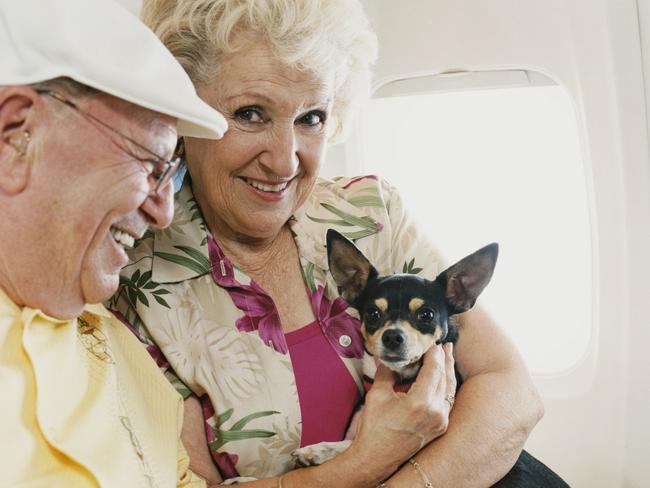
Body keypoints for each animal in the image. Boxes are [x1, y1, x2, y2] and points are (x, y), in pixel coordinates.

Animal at [292, 231, 498, 468]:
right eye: (372, 313)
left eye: (426, 314)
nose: (392, 336)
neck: (402, 380)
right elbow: (354, 443)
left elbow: (353, 444)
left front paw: (317, 450)